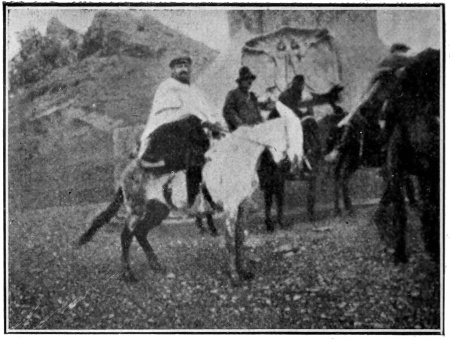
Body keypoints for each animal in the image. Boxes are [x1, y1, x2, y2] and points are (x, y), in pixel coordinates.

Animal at [78, 101, 302, 284]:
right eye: (295, 132)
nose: (295, 165)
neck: (238, 158)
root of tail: (128, 171)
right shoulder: (230, 208)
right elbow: (230, 242)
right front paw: (234, 277)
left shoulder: (242, 206)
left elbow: (240, 240)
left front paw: (245, 272)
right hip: (136, 210)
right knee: (126, 236)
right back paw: (128, 274)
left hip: (158, 210)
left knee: (141, 233)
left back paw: (156, 265)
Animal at [372, 49, 440, 264]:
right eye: (413, 100)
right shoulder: (395, 165)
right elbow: (400, 209)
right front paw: (399, 253)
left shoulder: (430, 170)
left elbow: (430, 204)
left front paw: (432, 246)